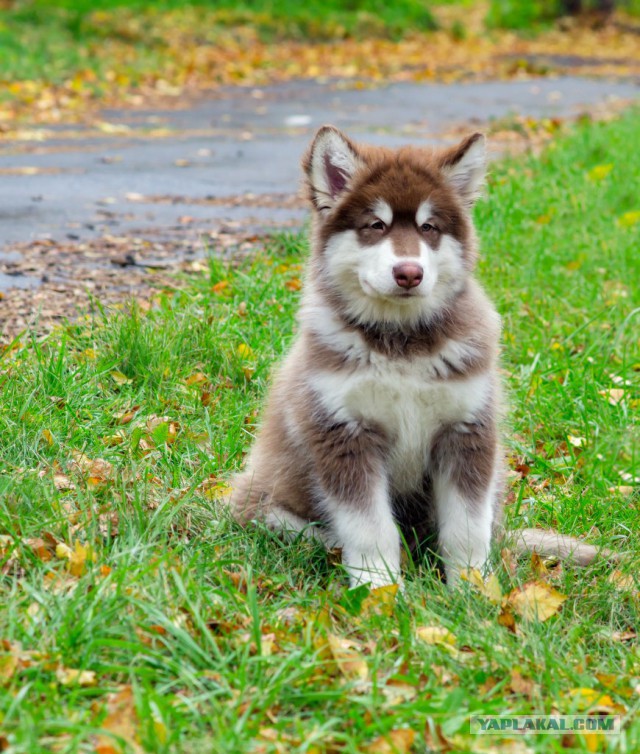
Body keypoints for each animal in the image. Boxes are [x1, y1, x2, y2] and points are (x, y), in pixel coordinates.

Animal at [229, 125, 604, 588]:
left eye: (429, 227)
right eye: (375, 225)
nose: (409, 272)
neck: (402, 344)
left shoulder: (466, 431)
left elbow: (467, 527)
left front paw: (473, 590)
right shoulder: (344, 434)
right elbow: (369, 528)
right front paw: (379, 591)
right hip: (262, 505)